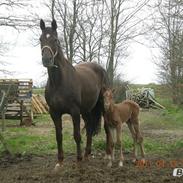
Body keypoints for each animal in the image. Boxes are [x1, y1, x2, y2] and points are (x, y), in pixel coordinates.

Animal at [39, 19, 109, 171]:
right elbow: (58, 136)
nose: (46, 60)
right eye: (40, 39)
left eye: (55, 39)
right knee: (89, 127)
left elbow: (77, 135)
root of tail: (100, 68)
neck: (59, 82)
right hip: (87, 110)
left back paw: (107, 154)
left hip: (102, 105)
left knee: (107, 127)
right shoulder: (54, 112)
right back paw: (87, 154)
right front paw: (60, 161)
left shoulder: (74, 111)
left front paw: (78, 160)